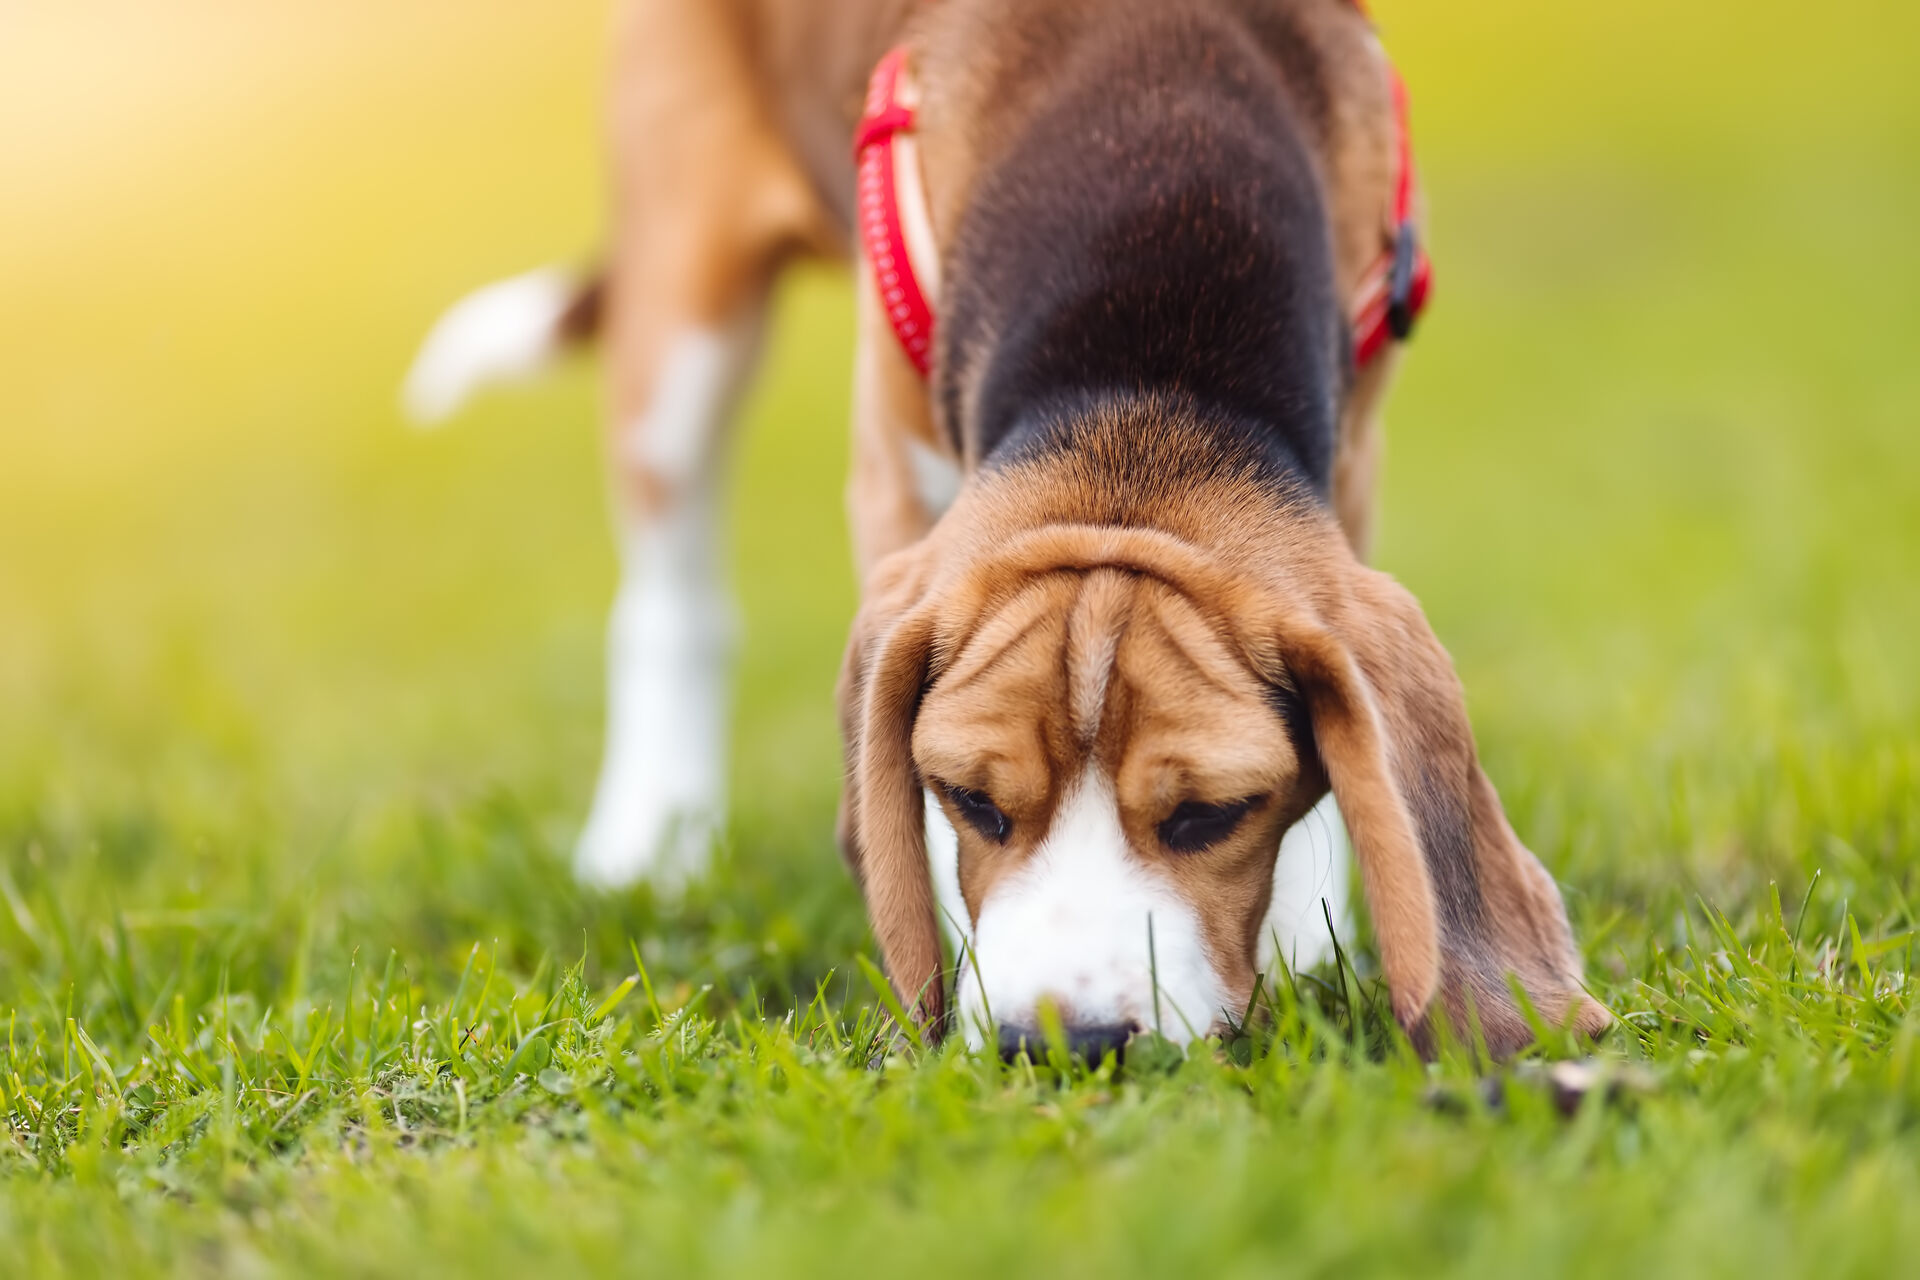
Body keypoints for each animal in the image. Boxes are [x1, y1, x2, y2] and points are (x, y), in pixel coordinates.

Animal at [412, 0, 1612, 1059]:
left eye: (1213, 813)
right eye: (970, 800)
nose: (1064, 1044)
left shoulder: (1353, 454)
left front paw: (1306, 931)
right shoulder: (895, 479)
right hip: (681, 311)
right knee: (674, 597)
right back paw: (651, 839)